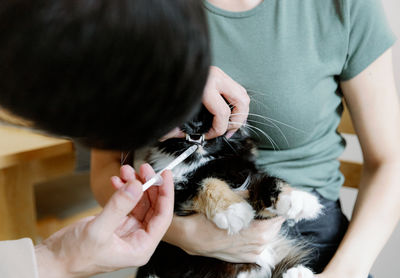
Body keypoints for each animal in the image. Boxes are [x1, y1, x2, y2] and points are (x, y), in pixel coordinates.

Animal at [136, 106, 324, 278]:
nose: (196, 123)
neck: (203, 161)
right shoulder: (175, 198)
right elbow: (204, 182)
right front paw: (234, 212)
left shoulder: (248, 176)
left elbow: (267, 181)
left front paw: (299, 200)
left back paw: (298, 272)